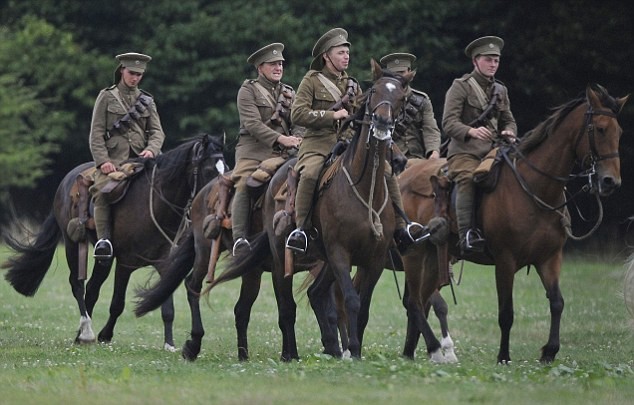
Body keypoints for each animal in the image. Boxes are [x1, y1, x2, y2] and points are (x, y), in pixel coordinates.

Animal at [1, 133, 225, 348]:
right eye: (208, 169)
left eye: (226, 168)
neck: (154, 204)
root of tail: (67, 180)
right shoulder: (125, 263)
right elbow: (117, 303)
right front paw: (105, 335)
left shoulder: (164, 263)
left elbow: (166, 304)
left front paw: (169, 344)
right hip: (73, 244)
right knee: (78, 285)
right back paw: (87, 332)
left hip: (104, 260)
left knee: (91, 289)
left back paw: (80, 335)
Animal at [398, 83, 624, 362]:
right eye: (600, 128)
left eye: (619, 131)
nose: (610, 181)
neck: (534, 189)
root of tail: (402, 178)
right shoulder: (505, 261)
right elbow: (506, 312)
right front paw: (503, 356)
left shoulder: (549, 258)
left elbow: (557, 302)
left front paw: (550, 351)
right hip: (413, 254)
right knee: (415, 302)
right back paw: (435, 349)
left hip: (433, 257)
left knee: (420, 300)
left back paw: (418, 352)